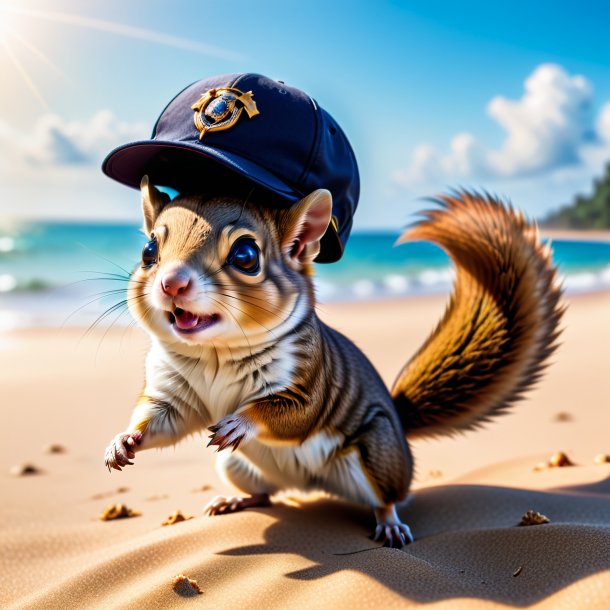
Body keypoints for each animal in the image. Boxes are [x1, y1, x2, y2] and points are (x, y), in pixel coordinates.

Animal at [103, 177, 560, 548]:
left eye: (246, 255)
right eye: (148, 250)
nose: (172, 283)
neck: (215, 354)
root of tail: (308, 486)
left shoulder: (311, 381)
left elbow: (293, 414)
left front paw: (241, 421)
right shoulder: (173, 391)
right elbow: (163, 419)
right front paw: (123, 441)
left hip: (377, 454)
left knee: (387, 498)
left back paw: (390, 524)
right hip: (235, 463)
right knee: (266, 493)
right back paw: (235, 499)